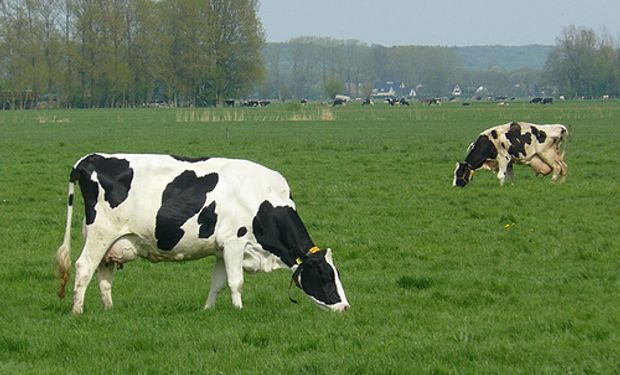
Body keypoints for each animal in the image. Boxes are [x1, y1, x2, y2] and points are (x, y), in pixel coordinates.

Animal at [55, 153, 352, 314]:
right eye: (325, 275)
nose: (345, 308)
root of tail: (90, 158)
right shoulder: (234, 241)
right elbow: (236, 282)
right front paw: (239, 310)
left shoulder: (222, 249)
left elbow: (217, 283)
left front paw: (207, 309)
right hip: (100, 233)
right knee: (84, 268)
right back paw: (77, 310)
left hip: (111, 242)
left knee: (104, 275)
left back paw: (109, 310)